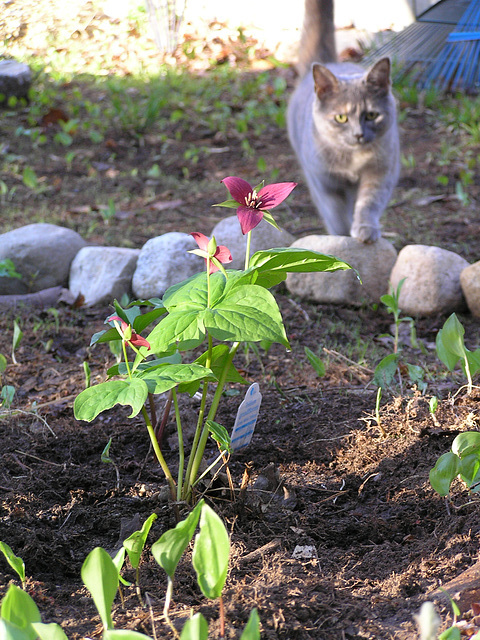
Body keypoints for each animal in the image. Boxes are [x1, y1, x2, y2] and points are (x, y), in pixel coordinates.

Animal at [288, 0, 402, 242]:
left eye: (371, 115)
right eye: (341, 117)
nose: (358, 134)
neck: (352, 160)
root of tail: (332, 62)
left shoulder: (381, 172)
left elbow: (369, 203)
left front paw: (365, 229)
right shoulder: (323, 181)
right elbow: (334, 212)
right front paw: (341, 236)